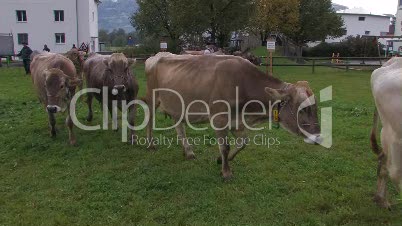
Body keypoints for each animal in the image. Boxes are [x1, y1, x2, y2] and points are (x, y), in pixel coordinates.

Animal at [144, 52, 320, 180]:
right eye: (302, 109)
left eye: (316, 107)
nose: (319, 137)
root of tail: (157, 55)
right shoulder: (219, 119)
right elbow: (225, 146)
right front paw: (226, 172)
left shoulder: (237, 122)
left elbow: (243, 143)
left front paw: (222, 160)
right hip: (153, 97)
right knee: (149, 119)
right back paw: (151, 144)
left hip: (177, 104)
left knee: (179, 127)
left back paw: (188, 152)